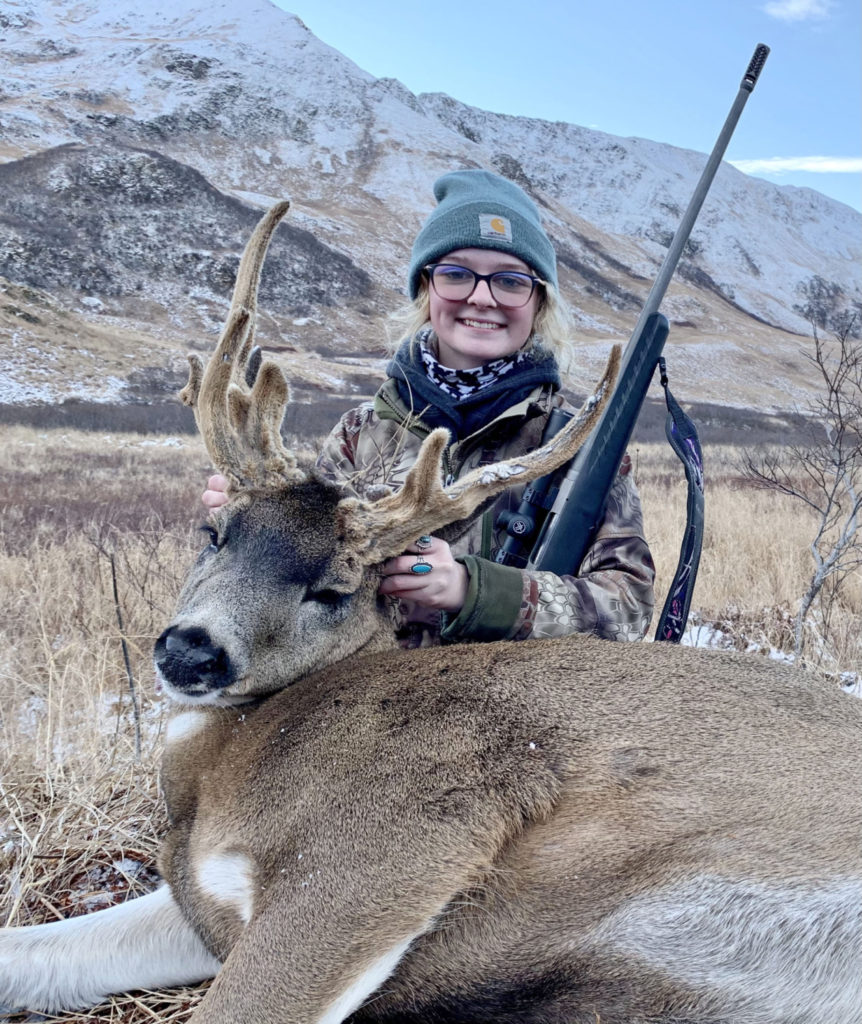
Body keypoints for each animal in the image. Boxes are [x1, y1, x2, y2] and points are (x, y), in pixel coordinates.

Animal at [1, 201, 860, 1024]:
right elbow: (31, 953)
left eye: (333, 590)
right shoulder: (201, 900)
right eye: (215, 532)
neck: (220, 768)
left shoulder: (397, 831)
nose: (190, 651)